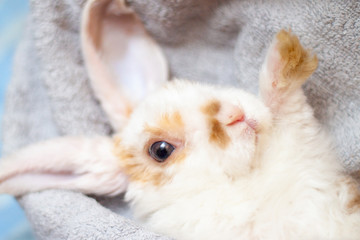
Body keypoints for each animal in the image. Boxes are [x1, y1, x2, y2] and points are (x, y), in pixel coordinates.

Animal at [0, 0, 360, 239]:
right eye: (160, 150)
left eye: (196, 86)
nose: (234, 115)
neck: (239, 182)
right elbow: (287, 105)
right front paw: (280, 58)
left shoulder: (307, 155)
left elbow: (290, 111)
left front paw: (287, 51)